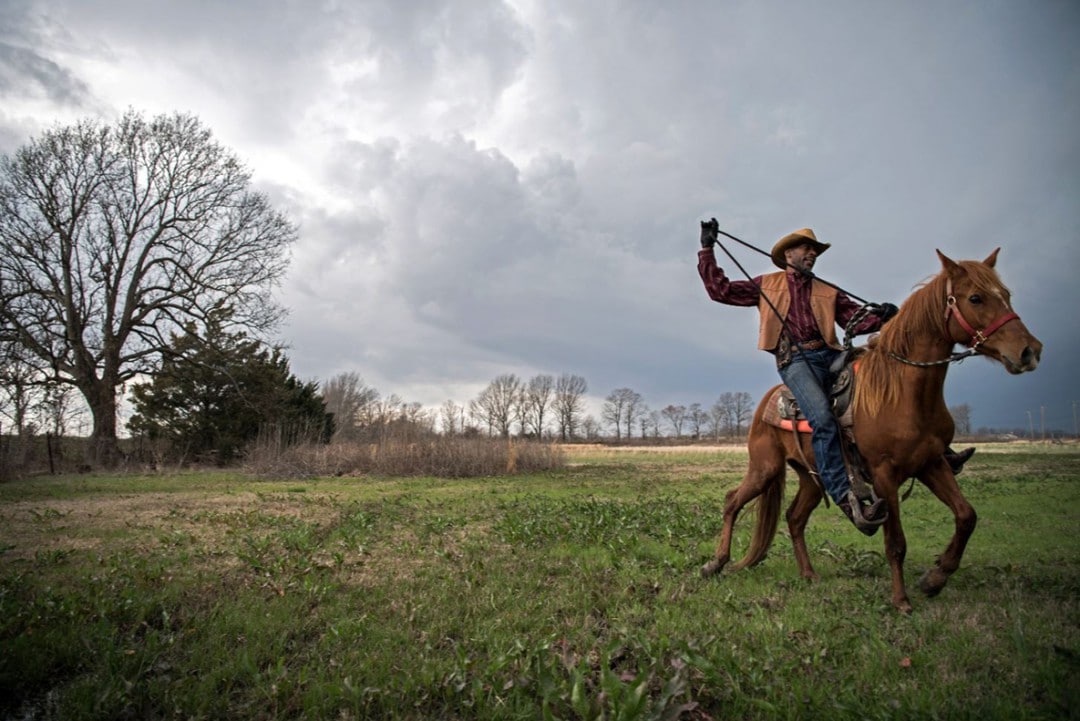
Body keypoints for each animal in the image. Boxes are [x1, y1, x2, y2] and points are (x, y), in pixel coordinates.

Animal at [704, 250, 1041, 613]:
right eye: (976, 298)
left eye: (1006, 295)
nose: (1030, 351)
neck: (902, 392)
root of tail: (768, 400)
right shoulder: (884, 475)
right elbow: (896, 542)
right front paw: (901, 600)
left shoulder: (931, 463)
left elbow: (967, 516)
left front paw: (935, 578)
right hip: (765, 468)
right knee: (732, 502)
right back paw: (716, 562)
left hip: (813, 477)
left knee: (794, 517)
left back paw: (808, 574)